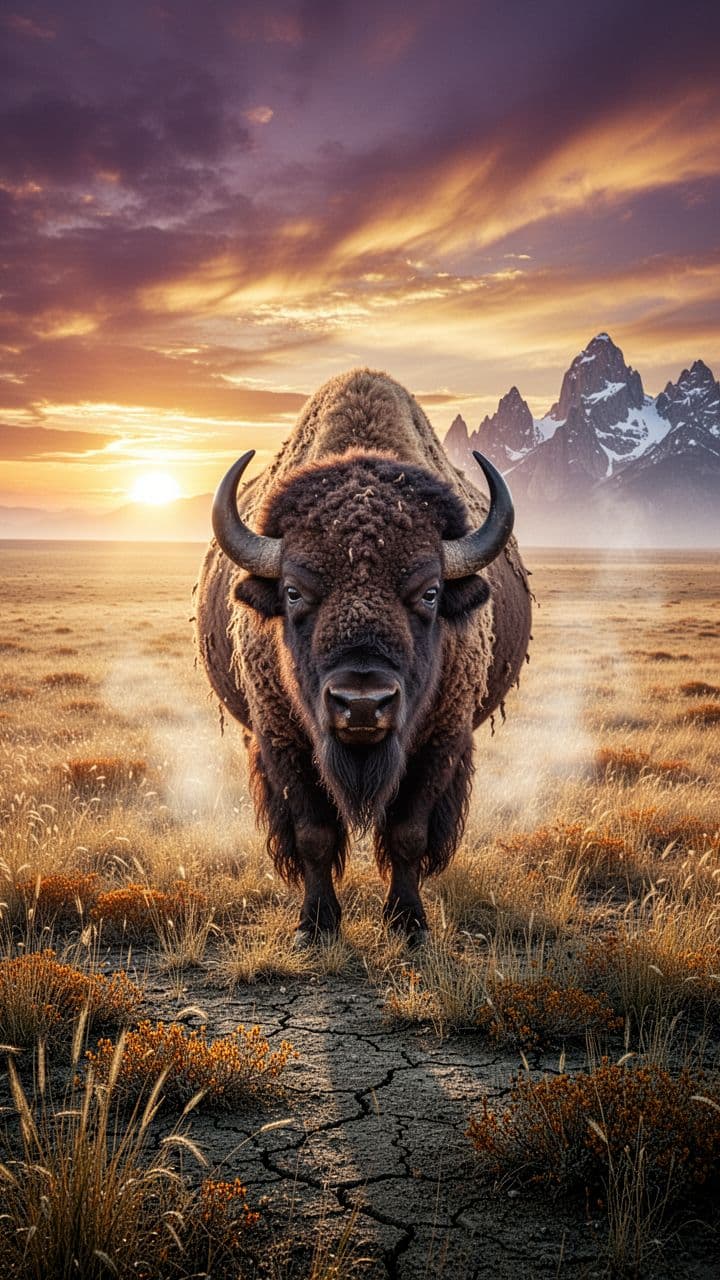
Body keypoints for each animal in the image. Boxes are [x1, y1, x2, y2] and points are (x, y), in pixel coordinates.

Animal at [196, 370, 532, 943]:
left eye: (430, 592)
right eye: (293, 591)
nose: (361, 704)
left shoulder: (439, 743)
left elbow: (408, 834)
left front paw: (408, 922)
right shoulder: (282, 740)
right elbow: (313, 834)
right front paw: (316, 924)